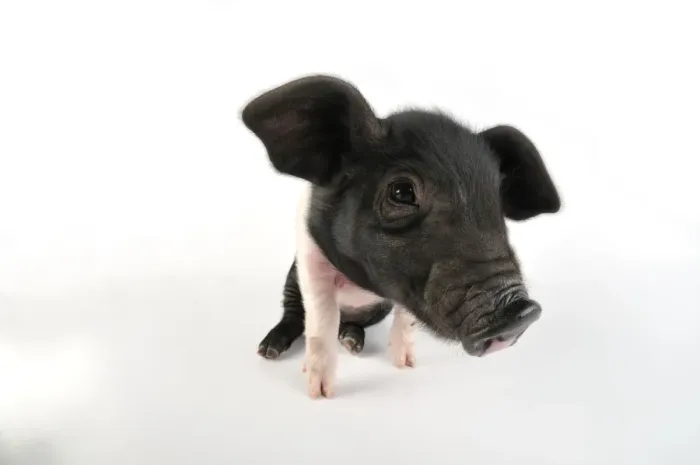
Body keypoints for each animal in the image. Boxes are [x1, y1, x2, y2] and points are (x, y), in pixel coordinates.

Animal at [241, 75, 561, 399]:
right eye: (402, 192)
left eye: (496, 197)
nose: (522, 311)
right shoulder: (309, 260)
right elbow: (320, 322)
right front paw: (319, 393)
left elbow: (406, 320)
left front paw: (406, 365)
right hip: (291, 279)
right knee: (295, 314)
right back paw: (268, 350)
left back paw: (352, 342)